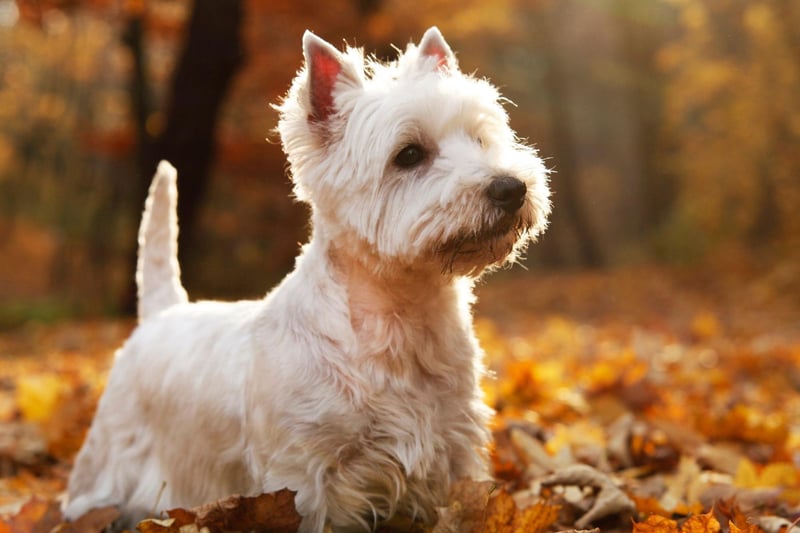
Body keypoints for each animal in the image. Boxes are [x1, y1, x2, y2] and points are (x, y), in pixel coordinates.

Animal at [65, 27, 552, 528]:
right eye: (409, 154)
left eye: (481, 139)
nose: (510, 188)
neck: (401, 318)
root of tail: (161, 312)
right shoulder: (304, 470)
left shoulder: (452, 447)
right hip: (114, 444)